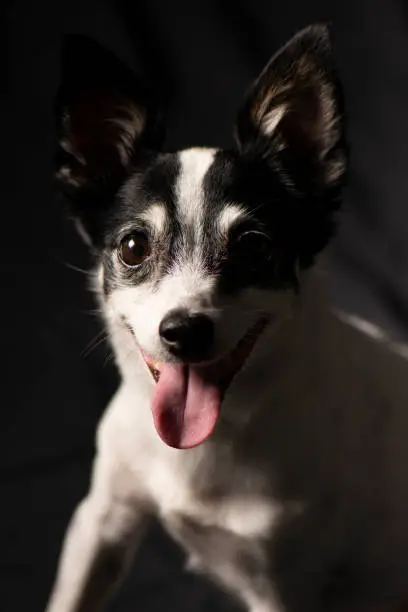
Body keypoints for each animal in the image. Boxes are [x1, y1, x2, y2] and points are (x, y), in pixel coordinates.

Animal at [45, 22, 408, 612]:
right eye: (132, 247)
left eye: (254, 248)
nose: (184, 331)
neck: (217, 435)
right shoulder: (101, 522)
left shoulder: (280, 588)